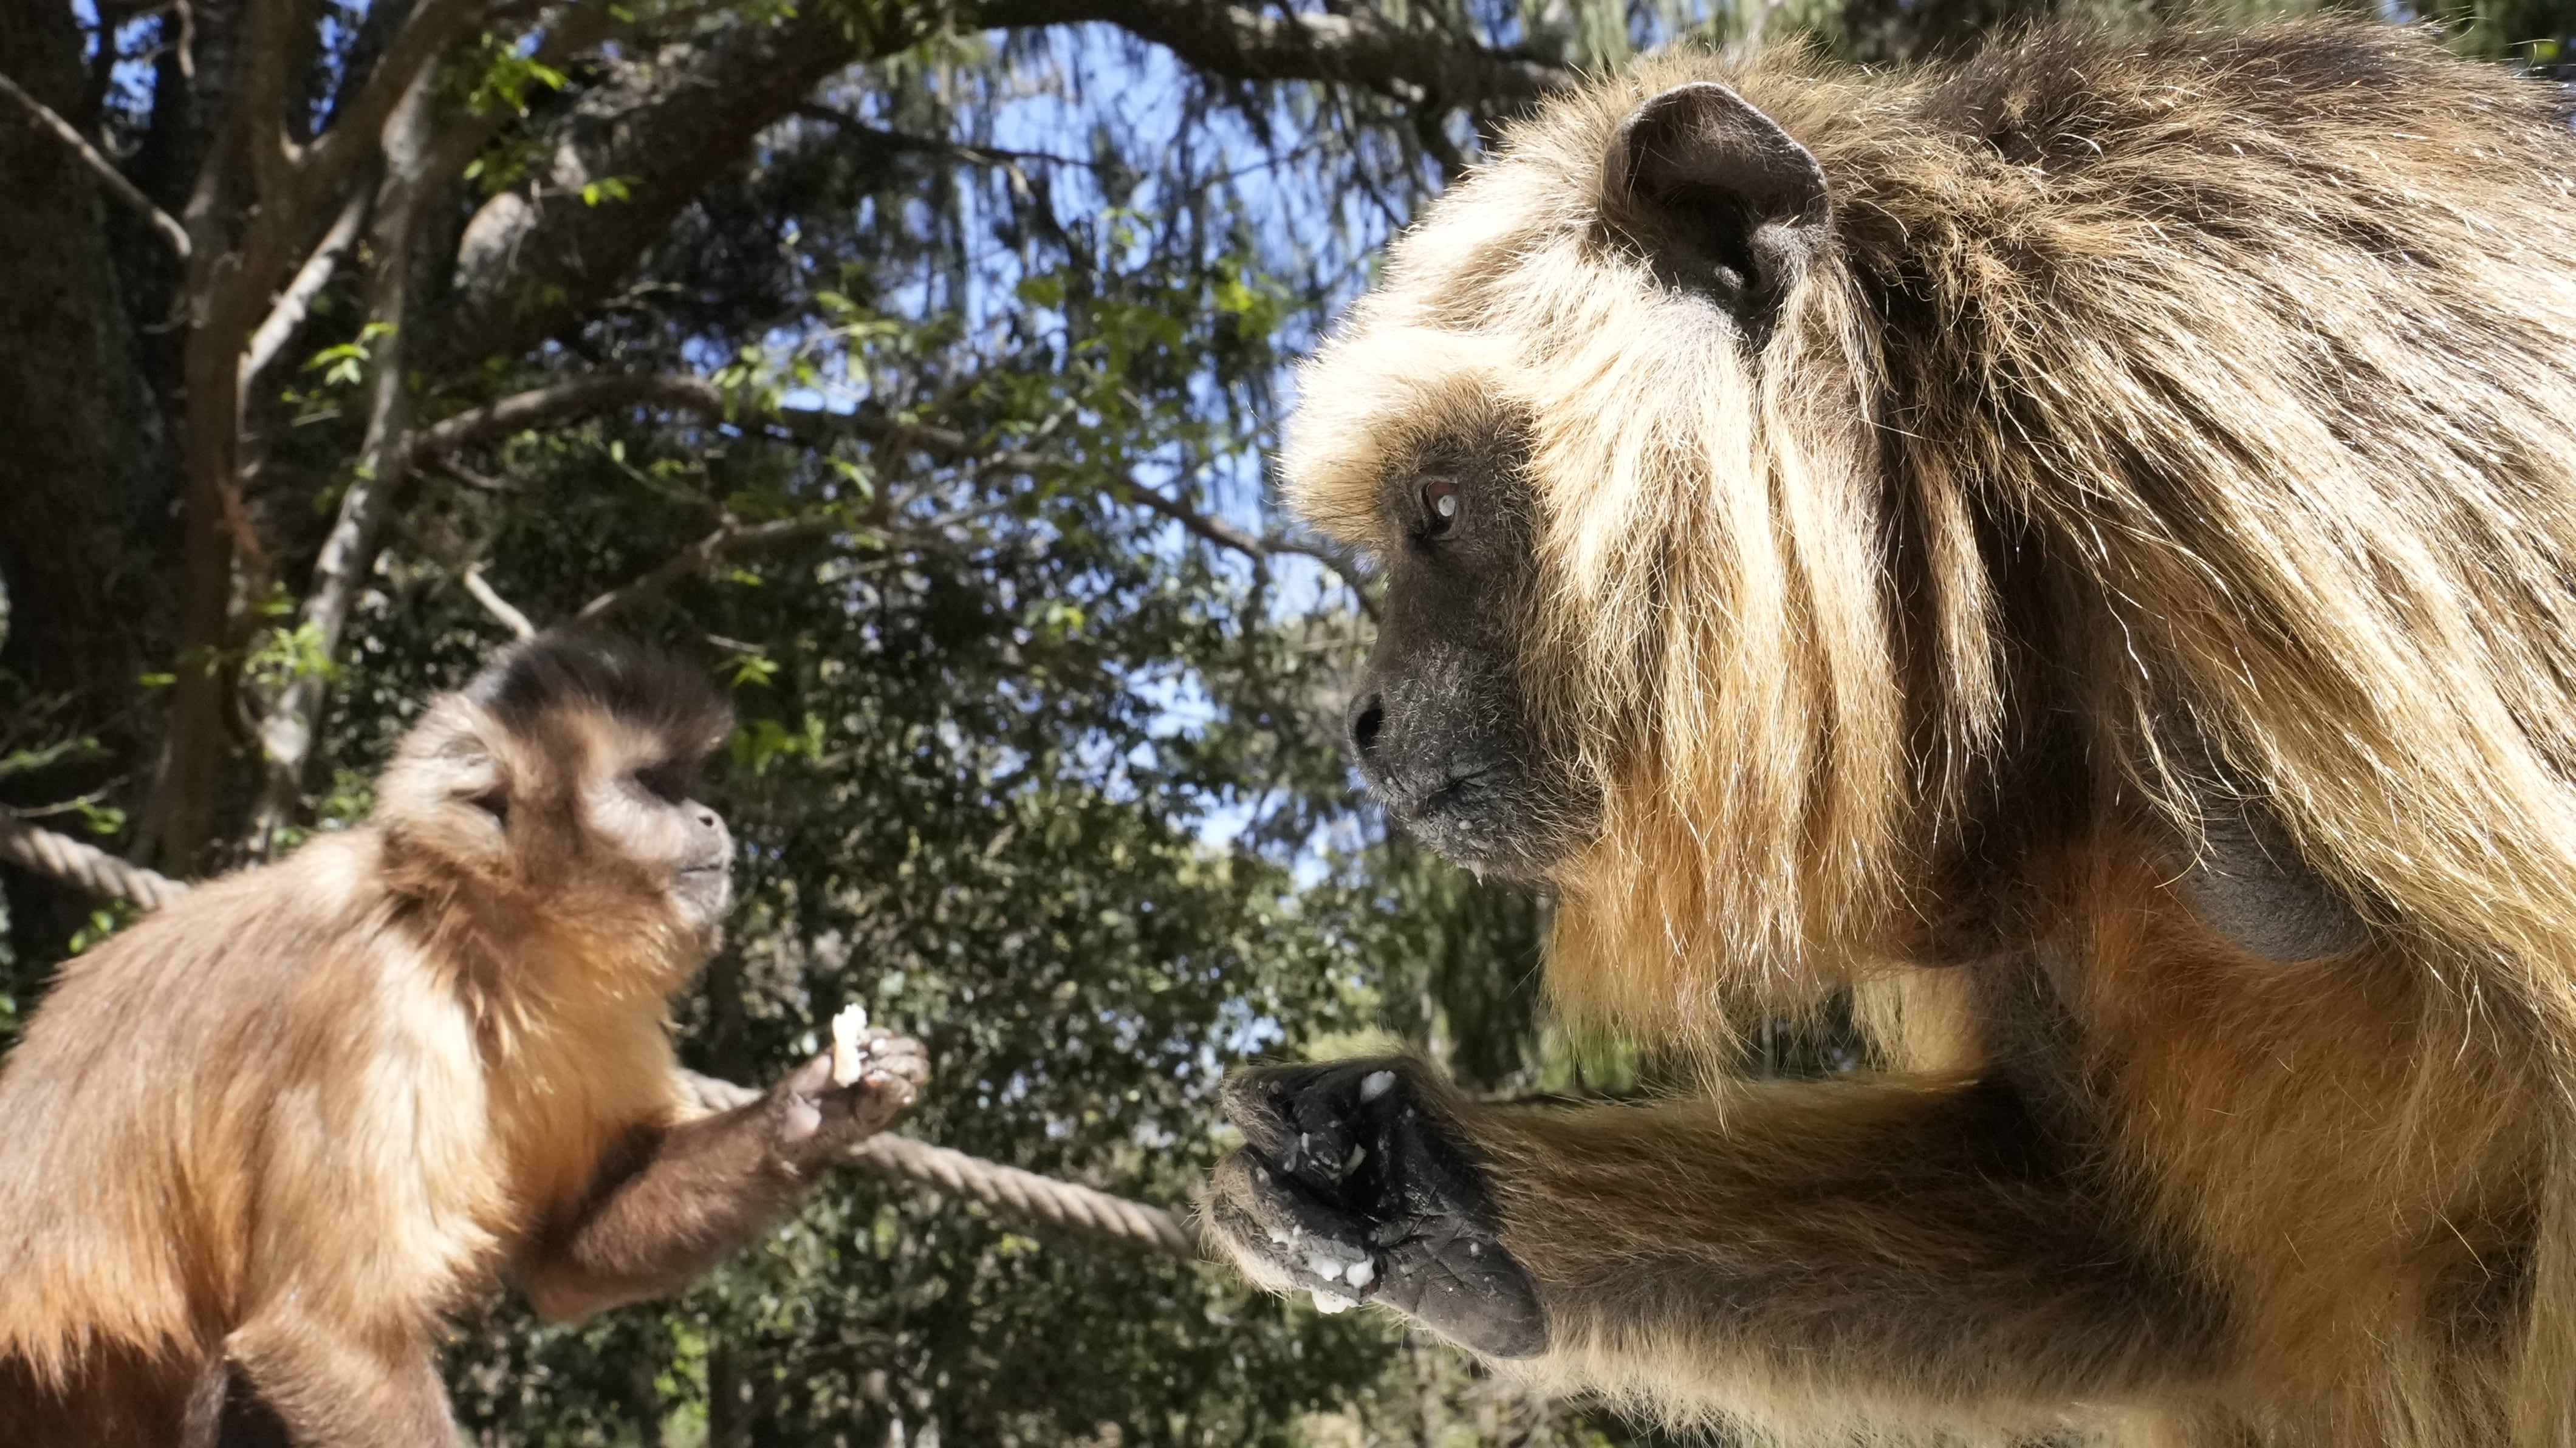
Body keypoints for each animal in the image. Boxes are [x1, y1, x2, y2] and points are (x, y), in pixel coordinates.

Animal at [0, 634, 927, 1443]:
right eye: (652, 785)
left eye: (685, 784)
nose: (707, 816)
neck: (464, 936)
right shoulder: (373, 1003)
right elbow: (330, 1336)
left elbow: (567, 1251)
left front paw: (817, 1105)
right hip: (63, 1386)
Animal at [1200, 19, 2576, 1443]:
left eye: (1436, 508)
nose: (1361, 720)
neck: (1978, 471)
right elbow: (2113, 1249)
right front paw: (1420, 1189)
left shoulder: (2256, 399)